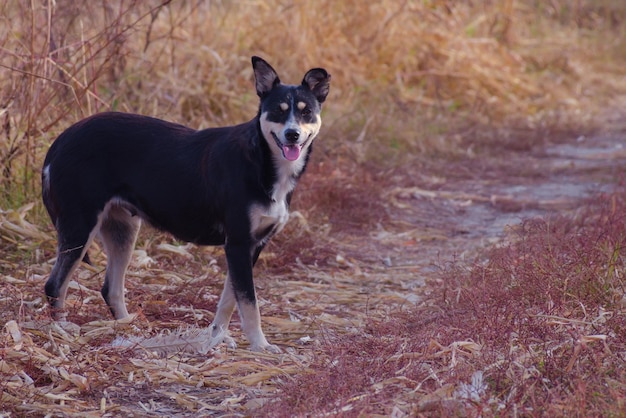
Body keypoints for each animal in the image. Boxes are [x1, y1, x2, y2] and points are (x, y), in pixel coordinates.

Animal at [41, 56, 330, 352]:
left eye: (306, 112)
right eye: (278, 112)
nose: (292, 134)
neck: (261, 161)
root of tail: (61, 140)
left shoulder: (250, 246)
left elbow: (229, 300)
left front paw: (216, 337)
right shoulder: (238, 243)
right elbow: (249, 304)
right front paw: (260, 345)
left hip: (123, 230)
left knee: (110, 289)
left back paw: (129, 329)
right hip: (80, 226)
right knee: (55, 285)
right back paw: (62, 332)